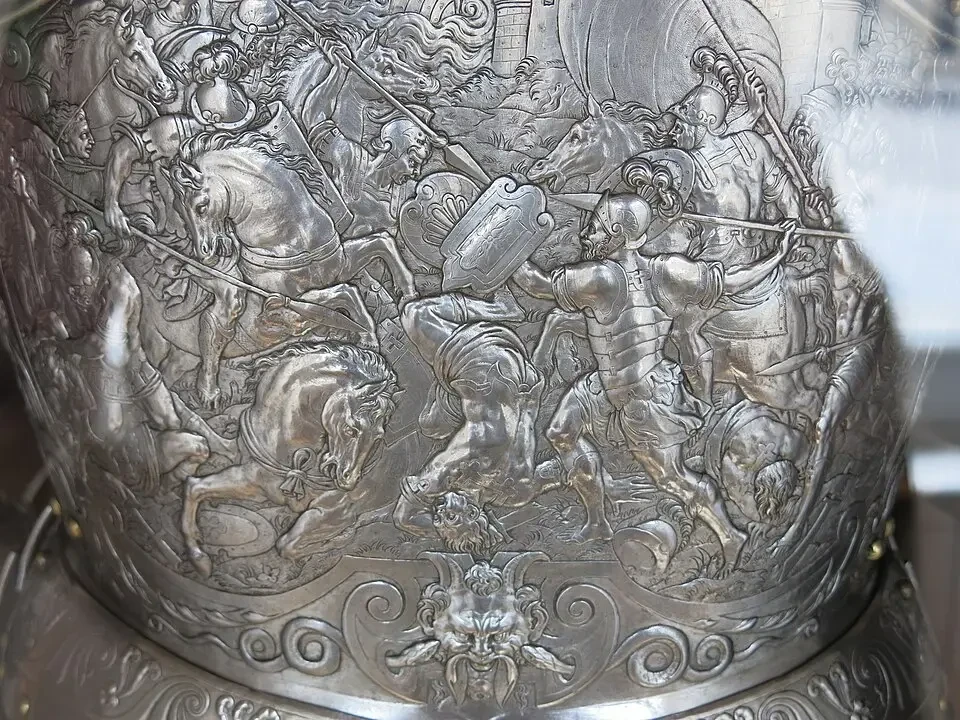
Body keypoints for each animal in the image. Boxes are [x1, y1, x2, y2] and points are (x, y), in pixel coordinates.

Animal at [155, 131, 416, 409]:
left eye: (200, 207)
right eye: (179, 211)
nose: (205, 254)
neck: (290, 237)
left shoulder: (340, 266)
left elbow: (382, 242)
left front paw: (408, 293)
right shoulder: (278, 313)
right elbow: (345, 294)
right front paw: (367, 338)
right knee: (214, 327)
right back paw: (208, 393)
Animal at [180, 341, 398, 577]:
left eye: (378, 436)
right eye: (351, 429)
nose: (348, 480)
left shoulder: (337, 510)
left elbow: (287, 545)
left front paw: (342, 539)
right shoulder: (251, 479)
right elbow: (195, 486)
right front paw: (199, 558)